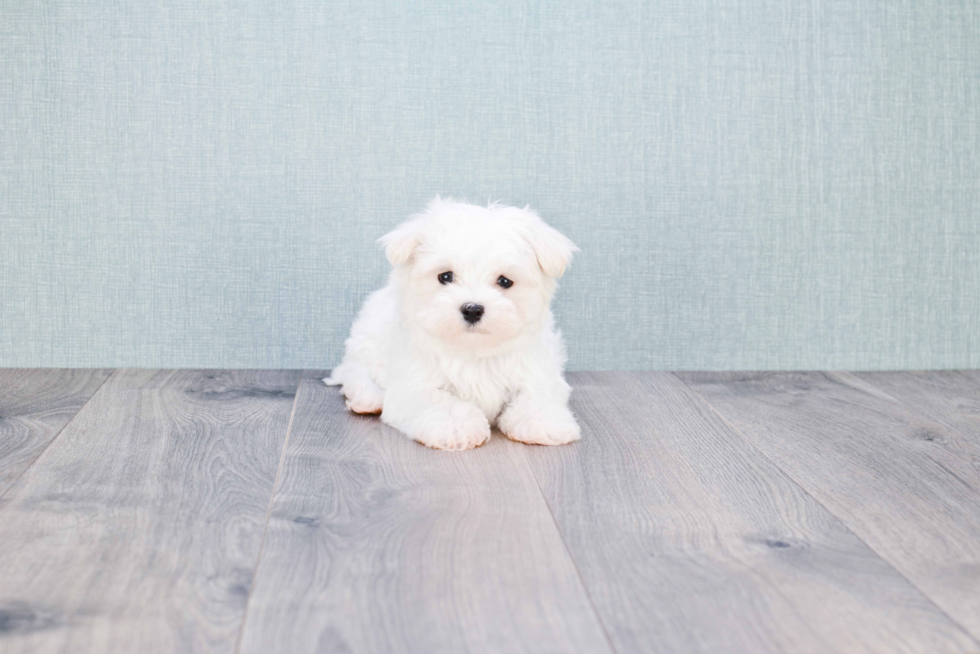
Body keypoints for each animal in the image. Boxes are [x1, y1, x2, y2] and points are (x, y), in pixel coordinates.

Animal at [326, 197, 580, 452]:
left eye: (505, 281)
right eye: (445, 277)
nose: (472, 309)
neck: (474, 351)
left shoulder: (538, 370)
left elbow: (536, 394)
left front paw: (542, 421)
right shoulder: (414, 382)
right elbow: (441, 402)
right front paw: (456, 427)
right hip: (366, 339)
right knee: (354, 371)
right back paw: (368, 399)